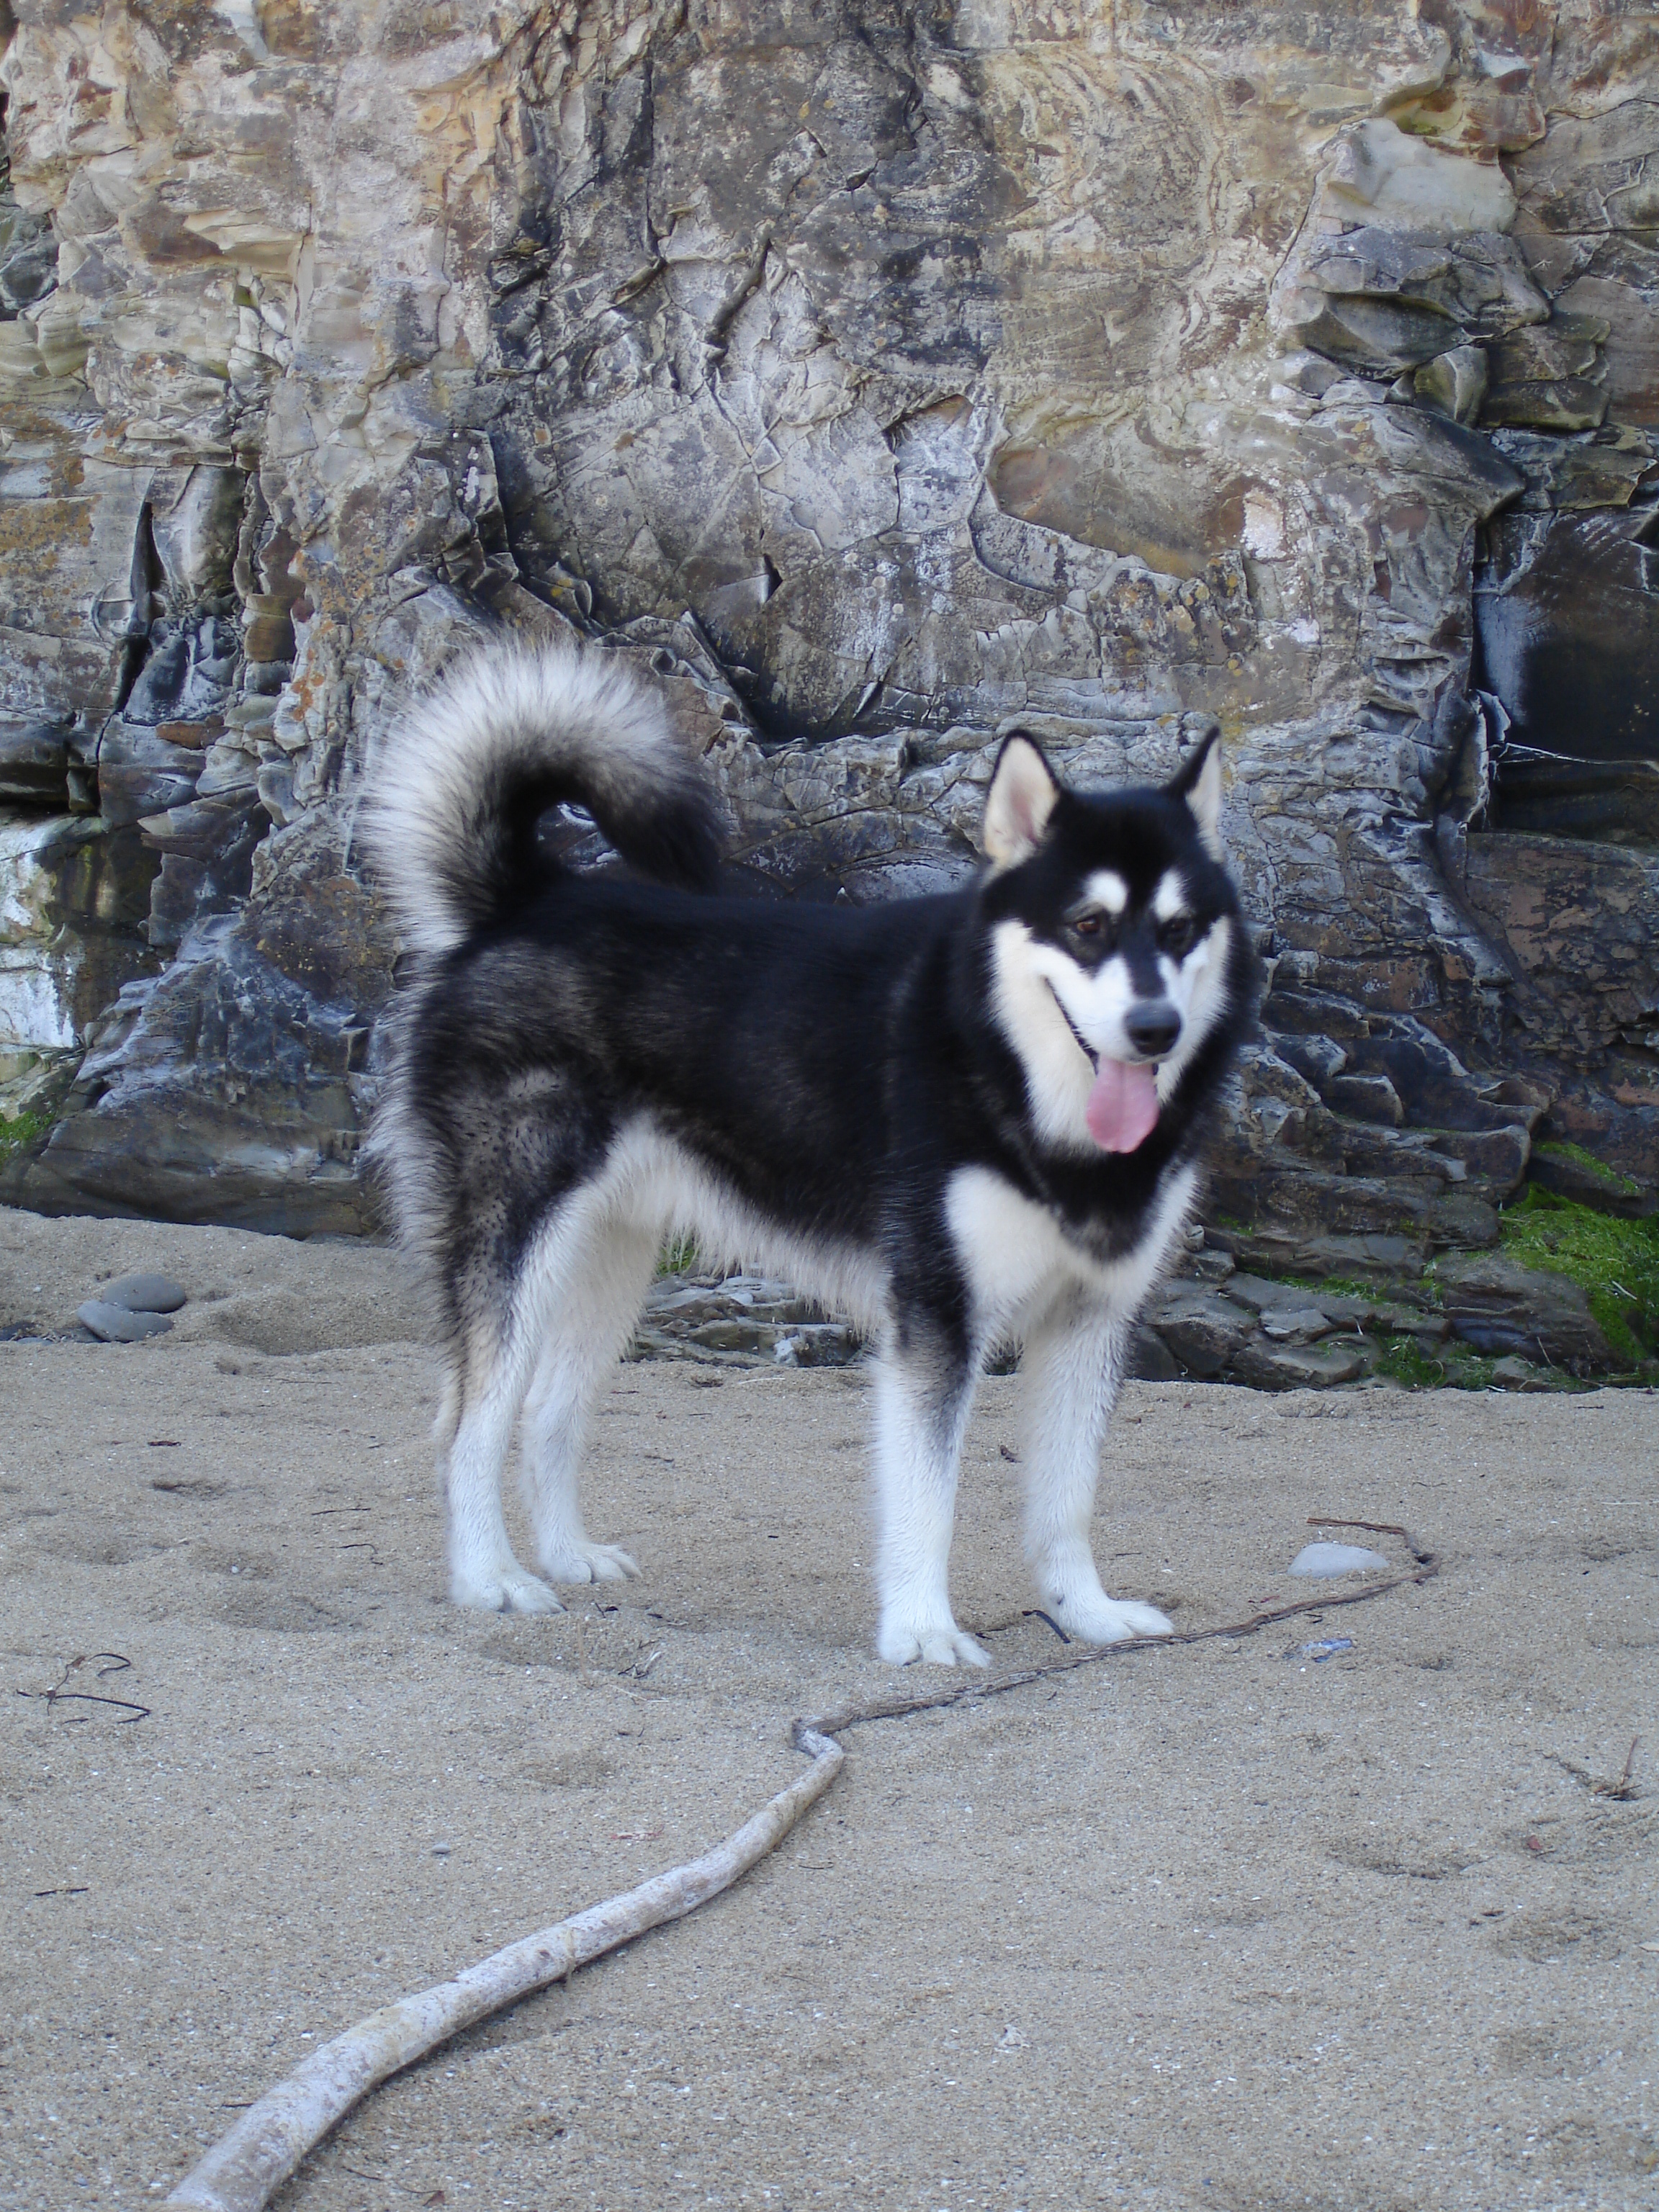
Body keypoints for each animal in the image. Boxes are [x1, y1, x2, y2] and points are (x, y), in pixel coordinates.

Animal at [363, 640, 1256, 1666]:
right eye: (1089, 926)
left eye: (1181, 929)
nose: (1155, 1029)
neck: (1019, 1080)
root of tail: (530, 901)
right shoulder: (936, 1321)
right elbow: (929, 1498)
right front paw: (922, 1631)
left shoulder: (1091, 1319)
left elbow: (1065, 1500)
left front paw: (1086, 1613)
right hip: (517, 1247)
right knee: (467, 1422)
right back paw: (490, 1578)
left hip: (610, 1258)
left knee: (550, 1411)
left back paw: (566, 1555)